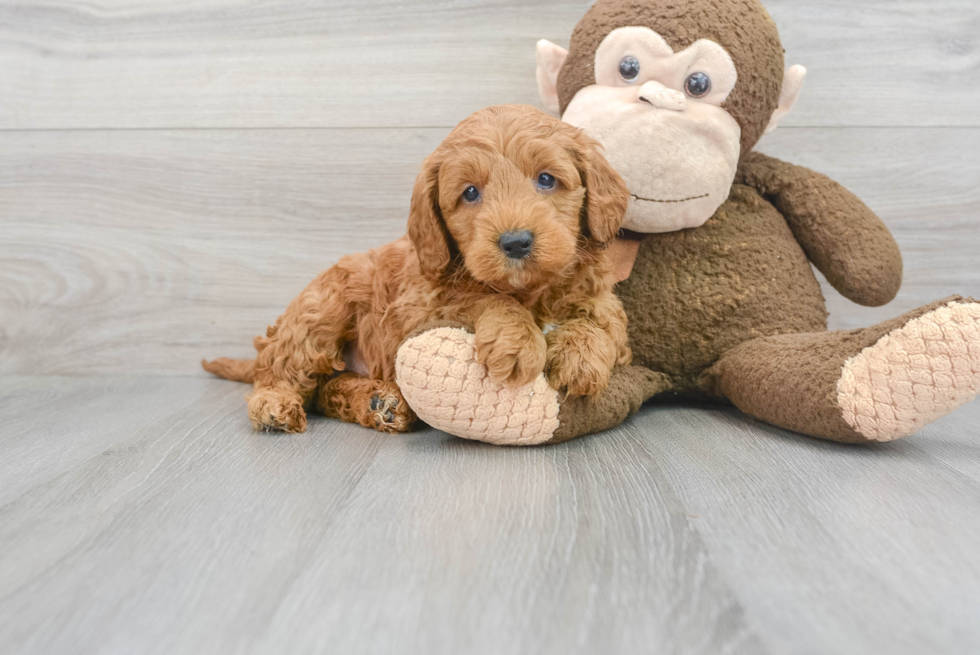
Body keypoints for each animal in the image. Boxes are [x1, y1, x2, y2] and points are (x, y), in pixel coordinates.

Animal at [208, 105, 636, 436]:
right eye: (470, 193)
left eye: (546, 179)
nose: (516, 242)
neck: (529, 290)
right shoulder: (417, 307)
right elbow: (481, 296)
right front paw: (516, 340)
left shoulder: (597, 293)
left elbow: (603, 319)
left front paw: (580, 359)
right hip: (321, 309)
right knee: (284, 368)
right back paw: (274, 404)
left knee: (324, 391)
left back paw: (379, 402)